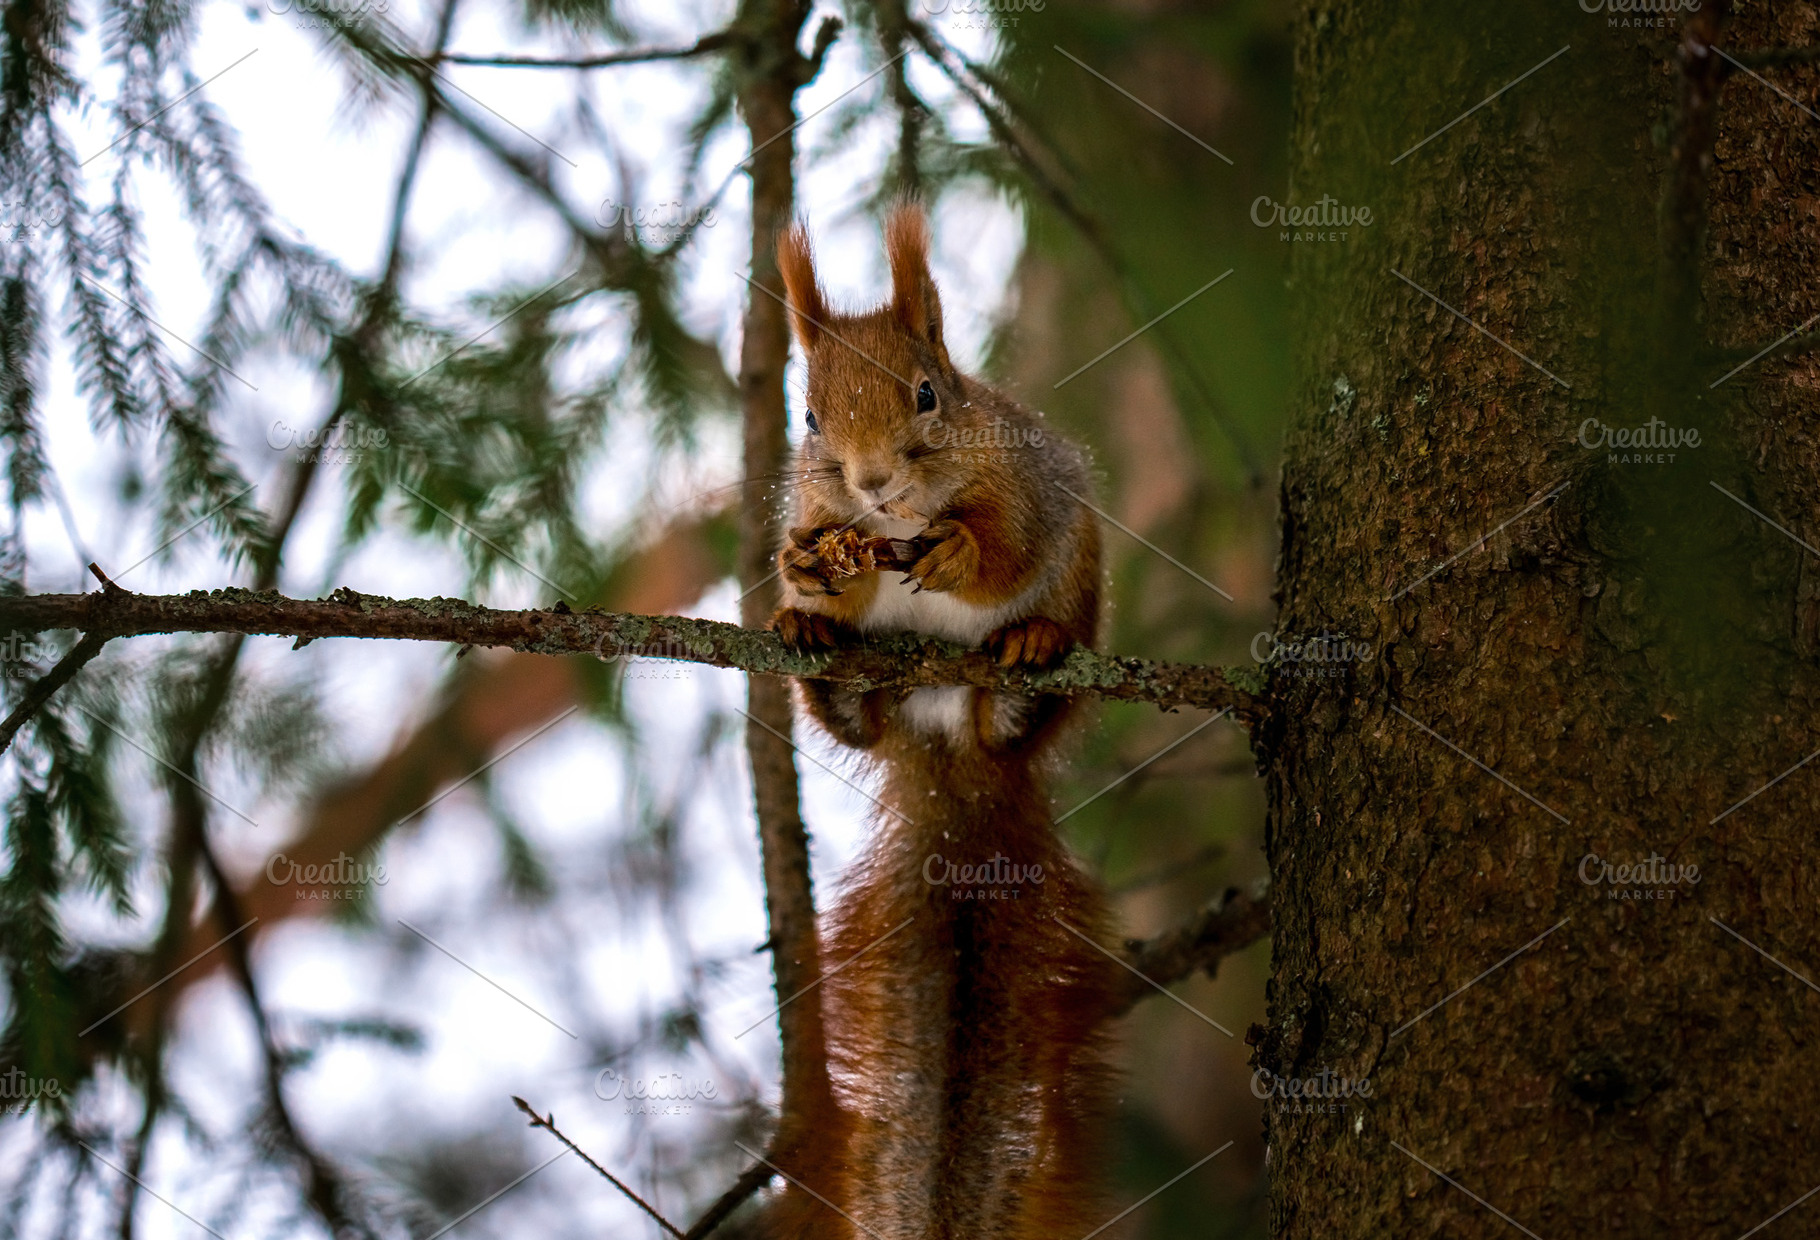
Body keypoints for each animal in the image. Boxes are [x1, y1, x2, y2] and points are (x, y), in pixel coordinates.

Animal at [761, 202, 1121, 1240]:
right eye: (808, 416)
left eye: (927, 394)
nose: (873, 480)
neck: (896, 526)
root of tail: (953, 744)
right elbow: (816, 558)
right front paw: (812, 575)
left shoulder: (1030, 487)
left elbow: (1004, 553)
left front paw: (961, 554)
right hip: (867, 701)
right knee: (859, 724)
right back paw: (823, 659)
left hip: (1081, 584)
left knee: (1023, 702)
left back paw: (1026, 669)